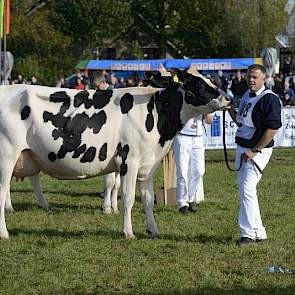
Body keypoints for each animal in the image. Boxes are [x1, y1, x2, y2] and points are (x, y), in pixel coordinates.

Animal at [0, 69, 231, 240]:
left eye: (209, 79)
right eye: (198, 84)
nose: (227, 98)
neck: (155, 113)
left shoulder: (148, 165)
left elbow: (148, 199)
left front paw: (153, 230)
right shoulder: (130, 161)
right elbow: (128, 198)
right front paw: (128, 232)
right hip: (7, 157)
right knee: (2, 192)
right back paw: (4, 233)